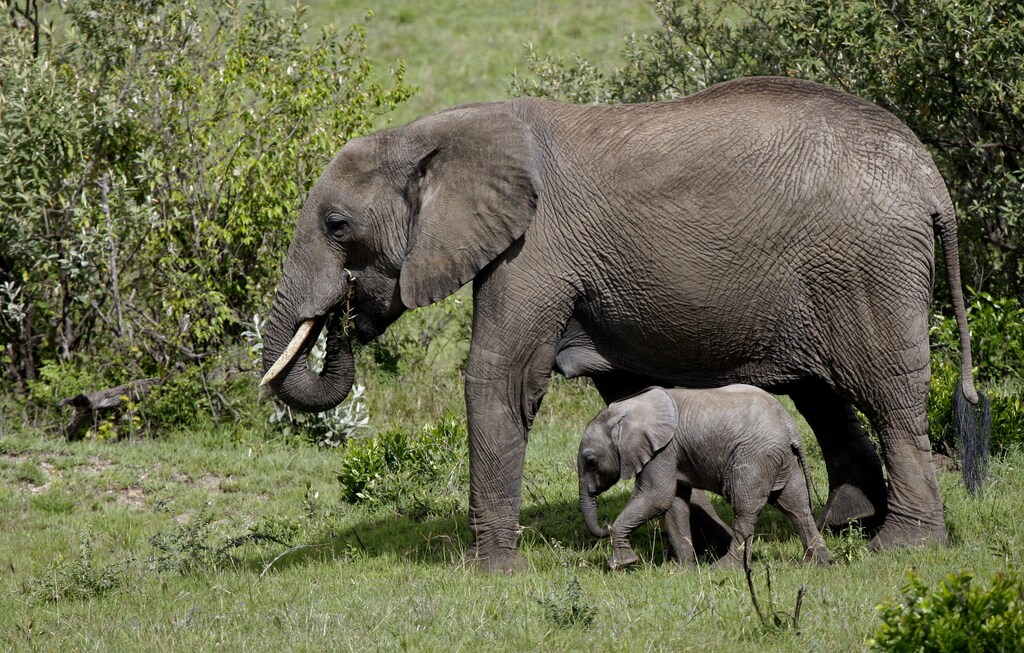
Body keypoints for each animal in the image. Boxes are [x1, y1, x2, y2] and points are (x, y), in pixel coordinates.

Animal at [578, 385, 831, 569]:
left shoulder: (663, 451)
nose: (605, 524)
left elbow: (657, 498)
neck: (628, 409)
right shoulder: (672, 453)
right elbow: (674, 504)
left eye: (590, 462)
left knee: (745, 509)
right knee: (795, 506)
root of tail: (790, 426)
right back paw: (817, 563)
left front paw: (620, 565)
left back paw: (724, 568)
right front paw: (680, 569)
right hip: (782, 459)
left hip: (756, 456)